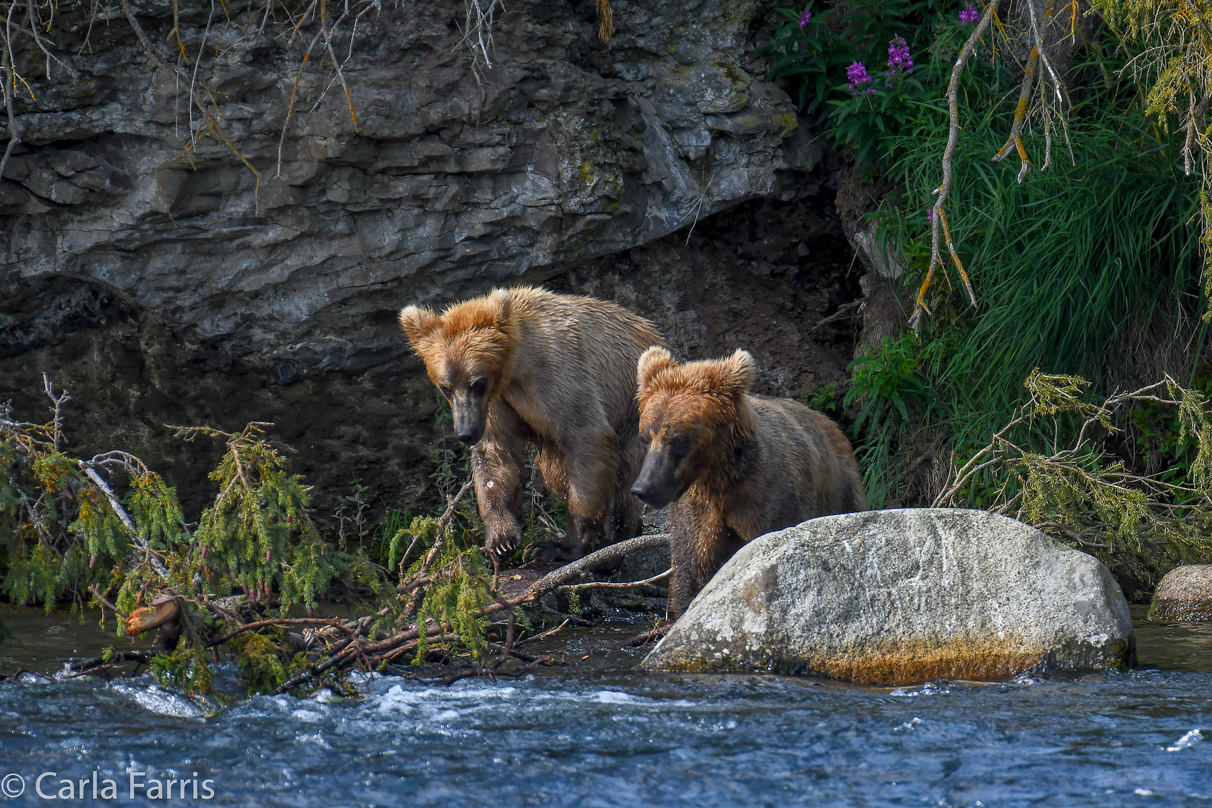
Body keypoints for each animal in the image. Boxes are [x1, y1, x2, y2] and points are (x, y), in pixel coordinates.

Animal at [399, 285, 669, 562]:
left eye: (478, 382)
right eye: (446, 387)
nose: (465, 432)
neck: (513, 366)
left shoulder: (557, 377)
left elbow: (585, 439)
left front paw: (563, 544)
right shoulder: (495, 404)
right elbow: (496, 455)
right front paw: (501, 540)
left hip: (637, 411)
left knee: (625, 473)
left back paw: (618, 535)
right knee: (554, 472)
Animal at [630, 344, 867, 615]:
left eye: (678, 439)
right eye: (645, 437)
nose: (643, 488)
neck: (718, 480)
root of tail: (831, 424)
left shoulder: (765, 499)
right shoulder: (696, 515)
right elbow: (689, 572)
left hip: (842, 490)